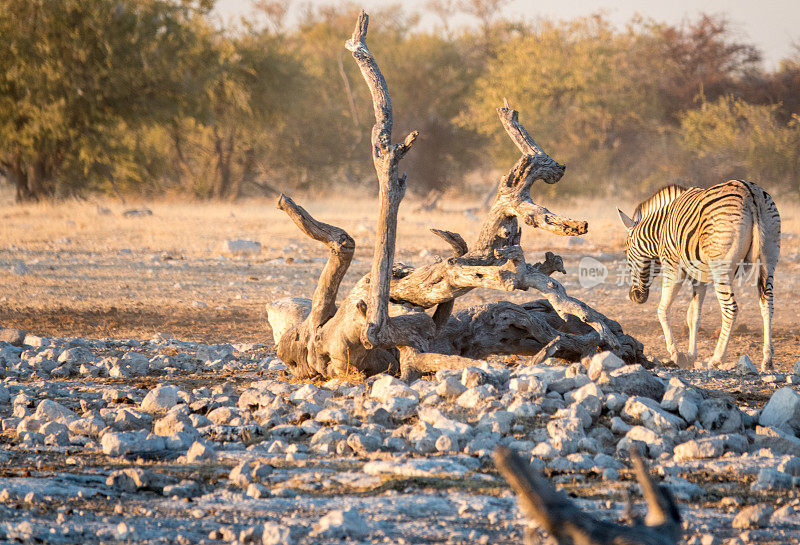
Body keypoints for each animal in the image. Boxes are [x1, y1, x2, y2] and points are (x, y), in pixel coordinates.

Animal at [620, 178, 780, 370]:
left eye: (626, 252)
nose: (634, 297)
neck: (661, 229)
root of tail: (750, 192)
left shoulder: (673, 269)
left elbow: (662, 309)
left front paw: (675, 353)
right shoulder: (699, 278)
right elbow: (693, 316)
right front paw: (691, 355)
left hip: (721, 269)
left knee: (730, 309)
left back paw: (717, 358)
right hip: (769, 260)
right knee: (767, 305)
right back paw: (767, 360)